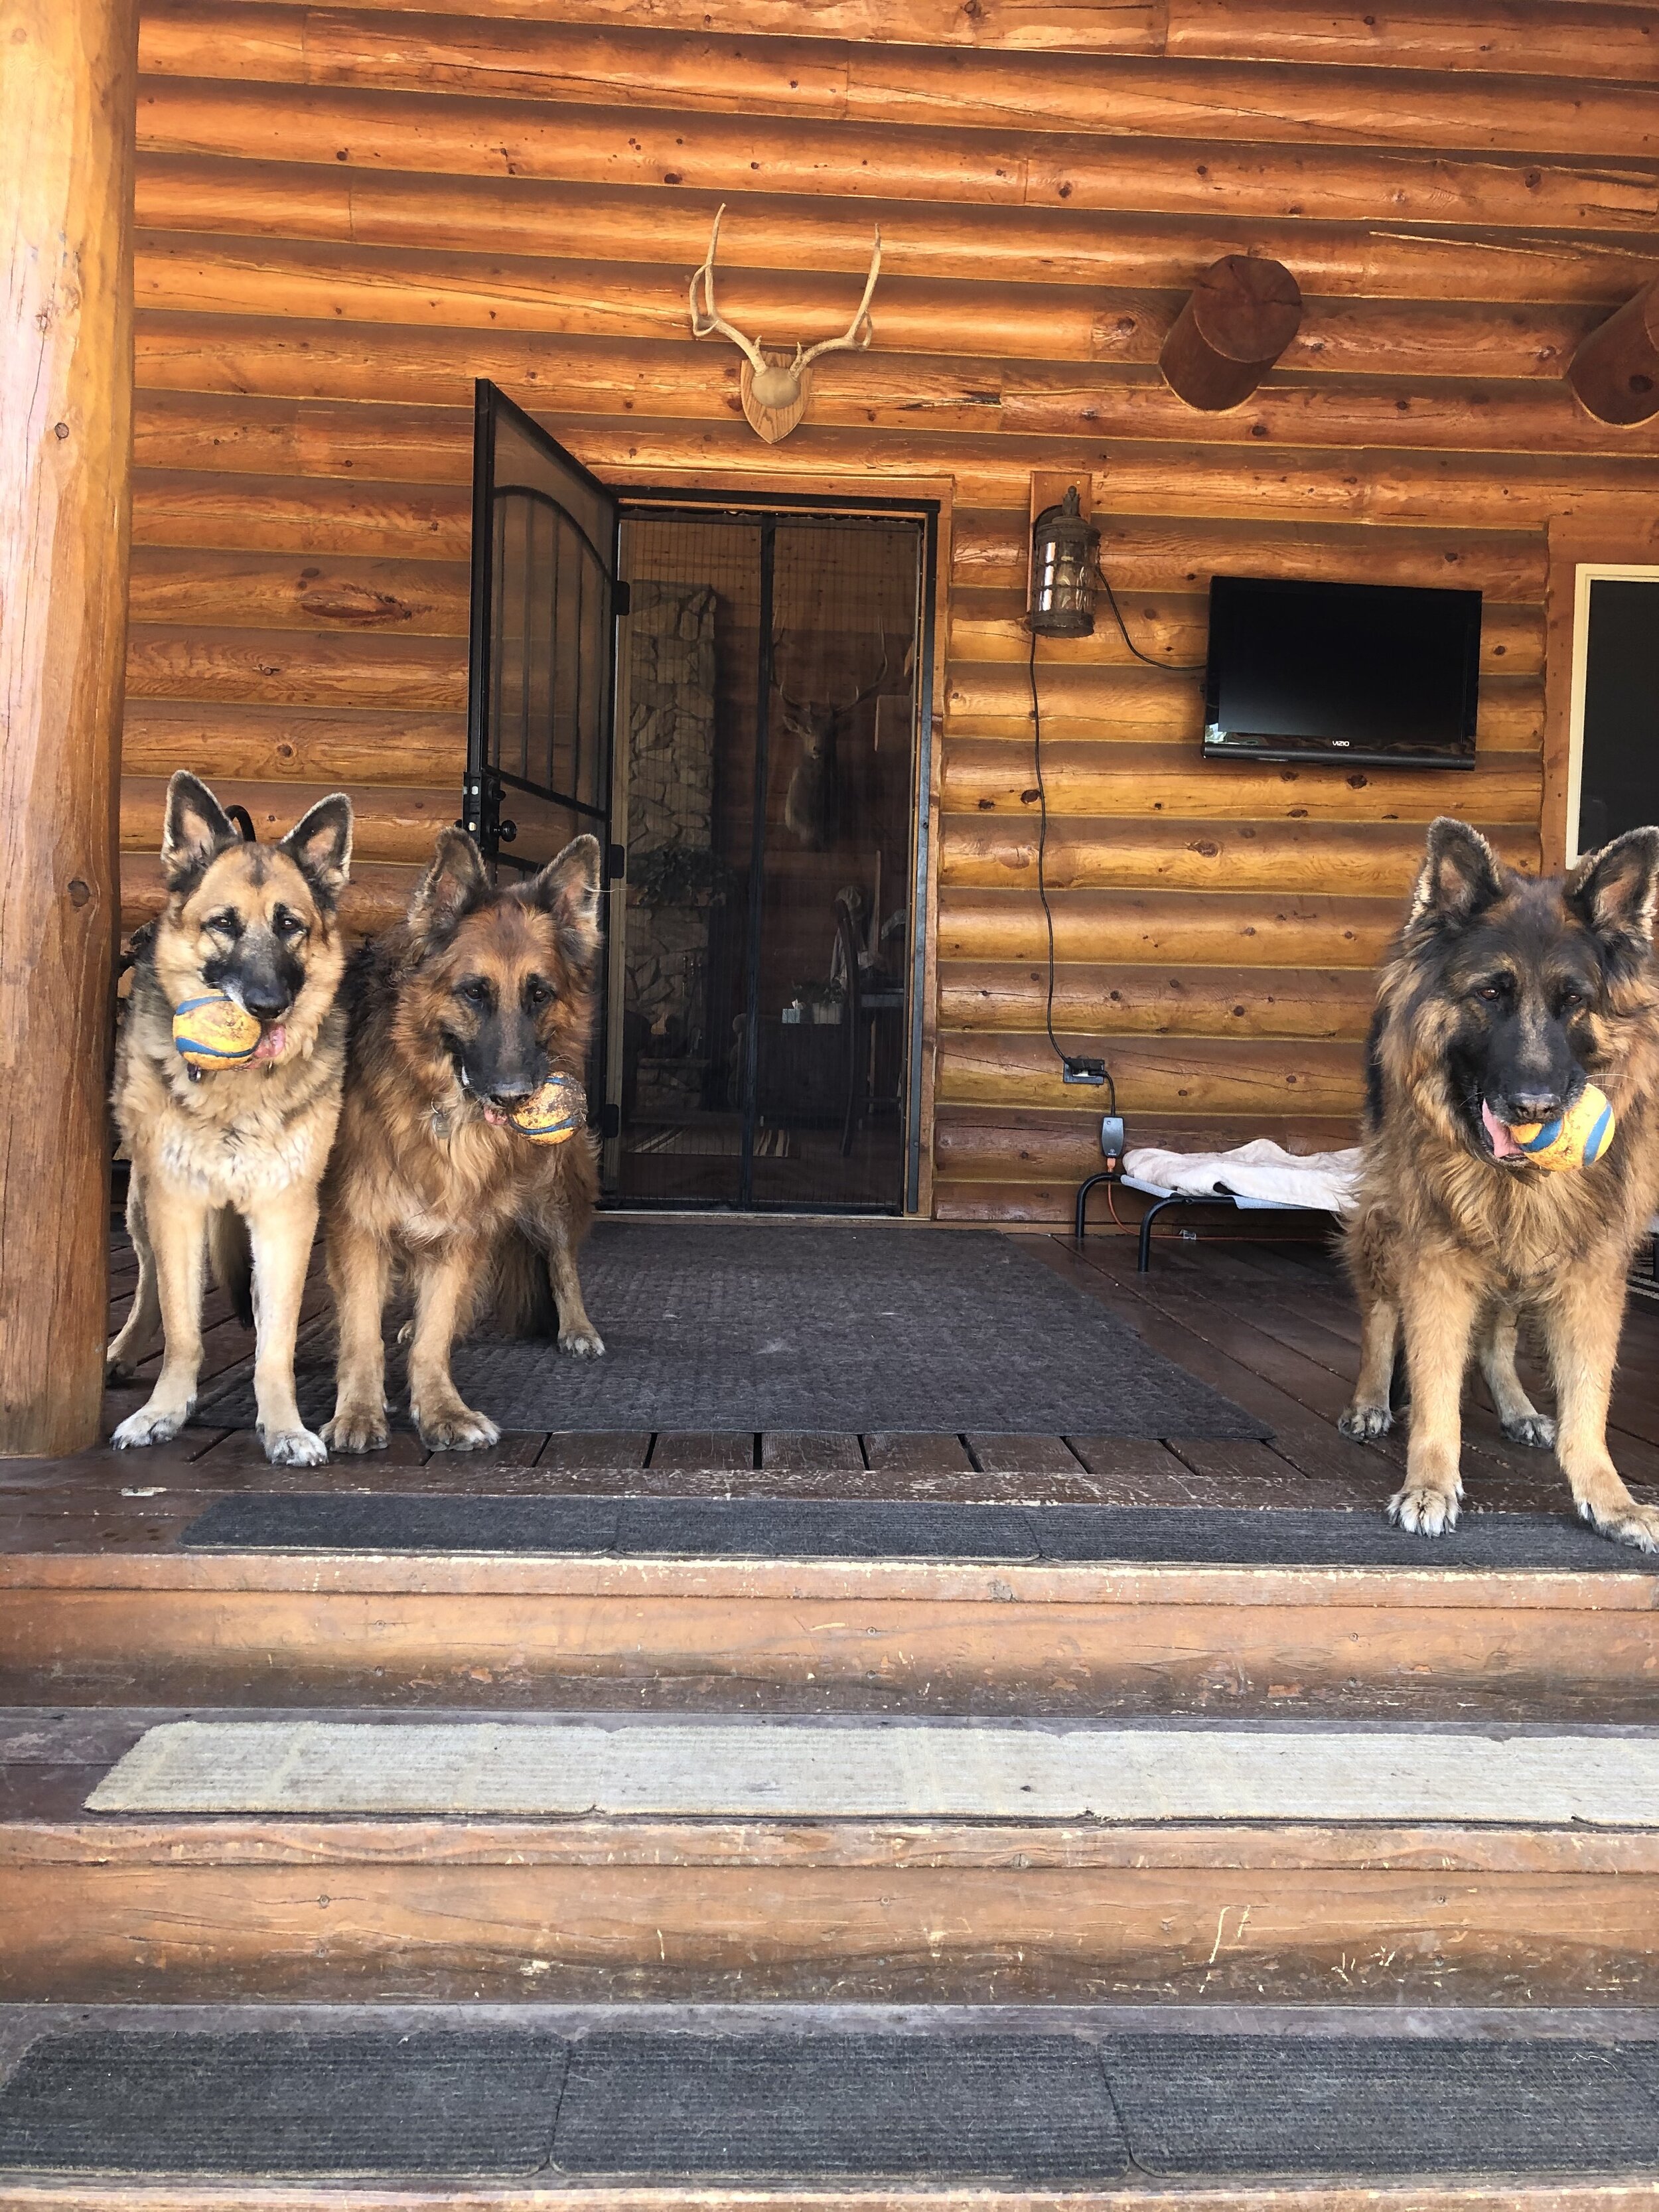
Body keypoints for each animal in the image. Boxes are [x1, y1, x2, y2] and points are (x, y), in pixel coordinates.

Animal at [109, 778, 356, 1469]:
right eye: (223, 924)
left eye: (290, 926)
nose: (268, 1005)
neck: (236, 1090)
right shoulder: (177, 1205)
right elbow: (183, 1329)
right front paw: (164, 1411)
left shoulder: (286, 1213)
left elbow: (275, 1342)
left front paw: (284, 1426)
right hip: (141, 1203)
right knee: (148, 1288)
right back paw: (122, 1351)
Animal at [321, 832, 606, 1451]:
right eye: (474, 993)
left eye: (540, 994)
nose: (515, 1097)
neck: (443, 1108)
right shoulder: (360, 1220)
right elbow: (361, 1329)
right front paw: (359, 1411)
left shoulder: (463, 1220)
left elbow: (437, 1330)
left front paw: (441, 1409)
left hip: (550, 1185)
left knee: (561, 1257)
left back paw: (576, 1325)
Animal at [1344, 818, 1659, 1557]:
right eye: (1490, 994)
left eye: (1574, 1002)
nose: (1534, 1107)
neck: (1519, 1181)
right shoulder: (1433, 1257)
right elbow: (1433, 1380)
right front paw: (1430, 1483)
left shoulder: (1592, 1270)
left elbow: (1589, 1394)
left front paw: (1609, 1498)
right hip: (1383, 1220)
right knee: (1380, 1312)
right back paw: (1370, 1399)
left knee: (1500, 1331)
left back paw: (1517, 1406)